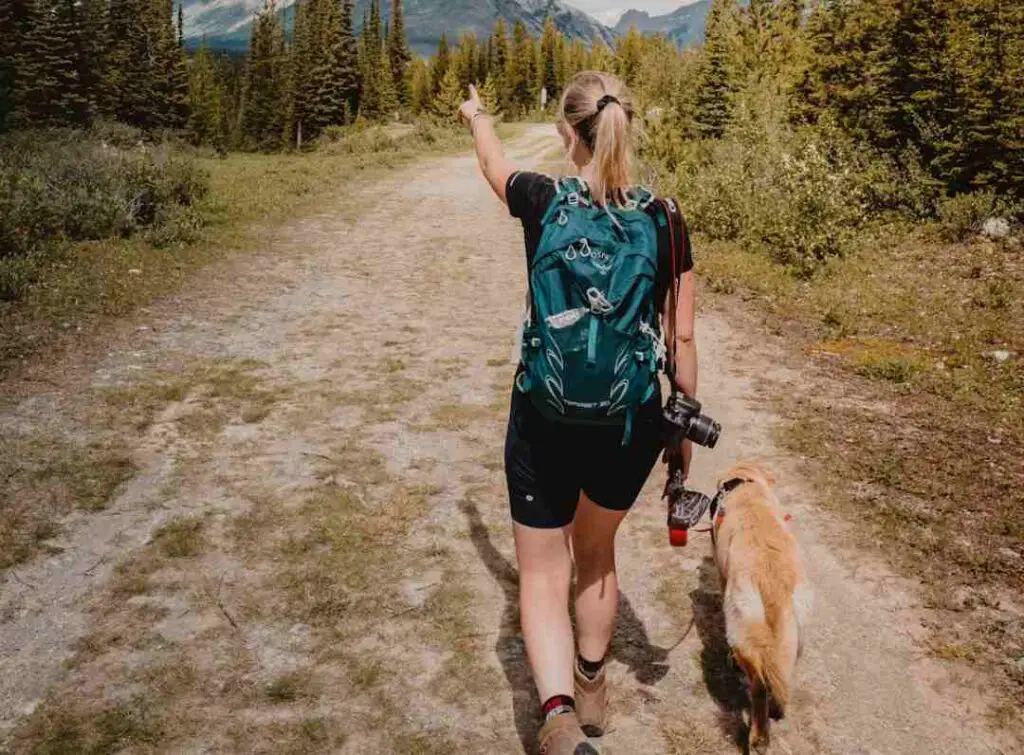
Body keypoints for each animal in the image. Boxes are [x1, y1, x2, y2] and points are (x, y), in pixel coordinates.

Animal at [708, 463, 811, 749]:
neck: (746, 484)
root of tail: (770, 578)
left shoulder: (721, 573)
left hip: (741, 629)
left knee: (759, 685)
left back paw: (758, 738)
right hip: (793, 634)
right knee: (780, 676)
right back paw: (776, 710)